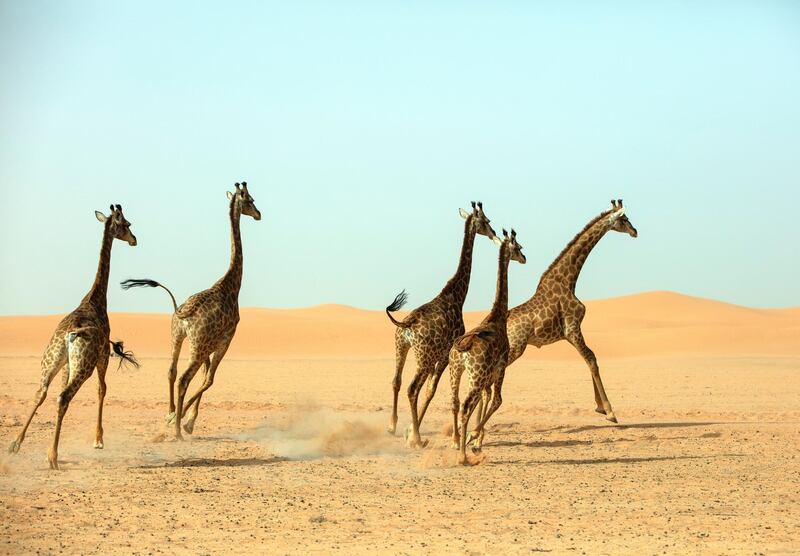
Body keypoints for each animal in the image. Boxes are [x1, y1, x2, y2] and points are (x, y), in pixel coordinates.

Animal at [7, 204, 138, 470]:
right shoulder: (103, 356)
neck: (96, 299)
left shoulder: (67, 364)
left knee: (42, 392)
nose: (135, 240)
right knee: (64, 396)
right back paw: (52, 456)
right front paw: (98, 440)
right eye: (127, 224)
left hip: (53, 360)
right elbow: (102, 389)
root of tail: (69, 335)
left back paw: (15, 444)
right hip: (84, 365)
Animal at [120, 182, 260, 438]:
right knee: (185, 378)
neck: (231, 285)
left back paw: (170, 414)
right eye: (251, 200)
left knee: (171, 371)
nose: (259, 214)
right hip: (197, 344)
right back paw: (176, 429)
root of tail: (183, 313)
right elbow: (209, 380)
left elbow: (204, 378)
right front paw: (185, 420)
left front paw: (184, 418)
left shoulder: (207, 345)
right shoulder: (226, 338)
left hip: (177, 336)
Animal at [384, 200, 496, 448]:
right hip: (423, 356)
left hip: (400, 347)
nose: (494, 234)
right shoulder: (444, 355)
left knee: (396, 381)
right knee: (412, 388)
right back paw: (418, 439)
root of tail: (407, 325)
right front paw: (413, 432)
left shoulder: (440, 356)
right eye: (486, 221)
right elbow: (431, 391)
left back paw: (392, 426)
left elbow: (429, 390)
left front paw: (408, 429)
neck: (456, 295)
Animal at [446, 227, 528, 464]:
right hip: (476, 374)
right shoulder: (501, 367)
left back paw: (459, 444)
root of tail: (462, 347)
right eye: (519, 247)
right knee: (466, 405)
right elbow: (497, 400)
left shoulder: (486, 376)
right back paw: (463, 456)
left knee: (456, 401)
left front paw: (473, 440)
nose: (524, 258)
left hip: (456, 370)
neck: (497, 317)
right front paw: (474, 439)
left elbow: (485, 399)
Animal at [476, 200, 636, 444]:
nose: (635, 231)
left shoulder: (570, 333)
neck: (569, 280)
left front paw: (600, 408)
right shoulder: (573, 328)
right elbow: (591, 358)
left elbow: (590, 358)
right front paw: (609, 412)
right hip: (515, 349)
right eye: (625, 219)